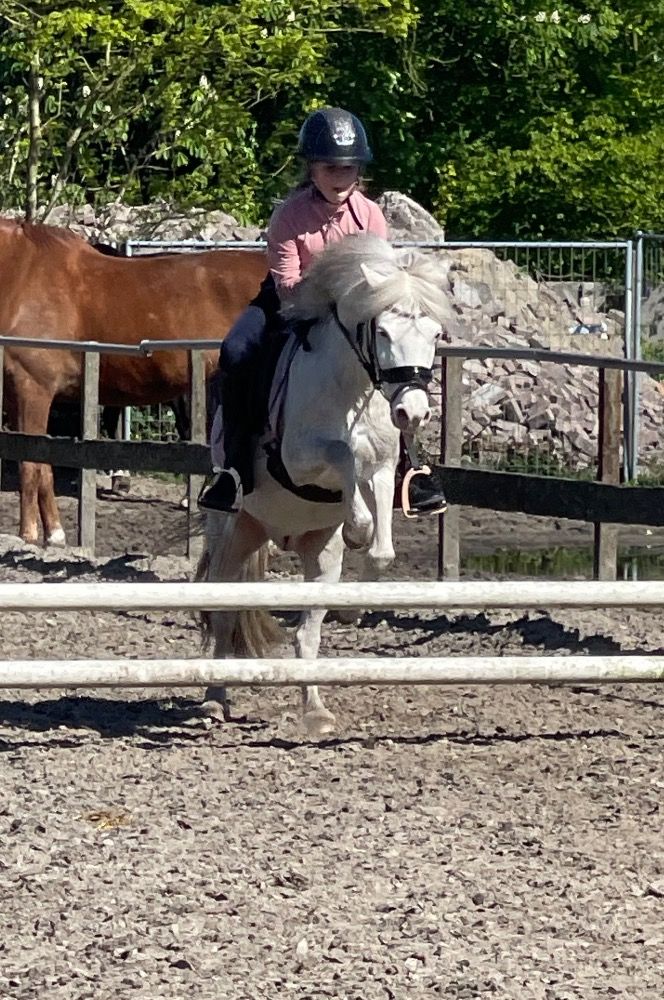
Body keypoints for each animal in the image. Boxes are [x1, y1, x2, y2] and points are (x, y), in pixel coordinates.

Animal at [0, 218, 267, 545]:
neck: (22, 275)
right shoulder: (19, 396)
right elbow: (39, 461)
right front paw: (54, 534)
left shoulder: (33, 389)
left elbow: (30, 466)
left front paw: (28, 535)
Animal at [197, 233, 449, 736]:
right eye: (383, 332)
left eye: (434, 335)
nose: (412, 412)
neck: (352, 386)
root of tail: (276, 535)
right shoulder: (299, 457)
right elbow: (343, 456)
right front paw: (356, 527)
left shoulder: (383, 467)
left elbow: (382, 544)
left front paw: (355, 604)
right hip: (232, 535)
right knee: (226, 613)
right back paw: (215, 700)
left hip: (318, 554)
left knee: (306, 634)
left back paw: (315, 710)